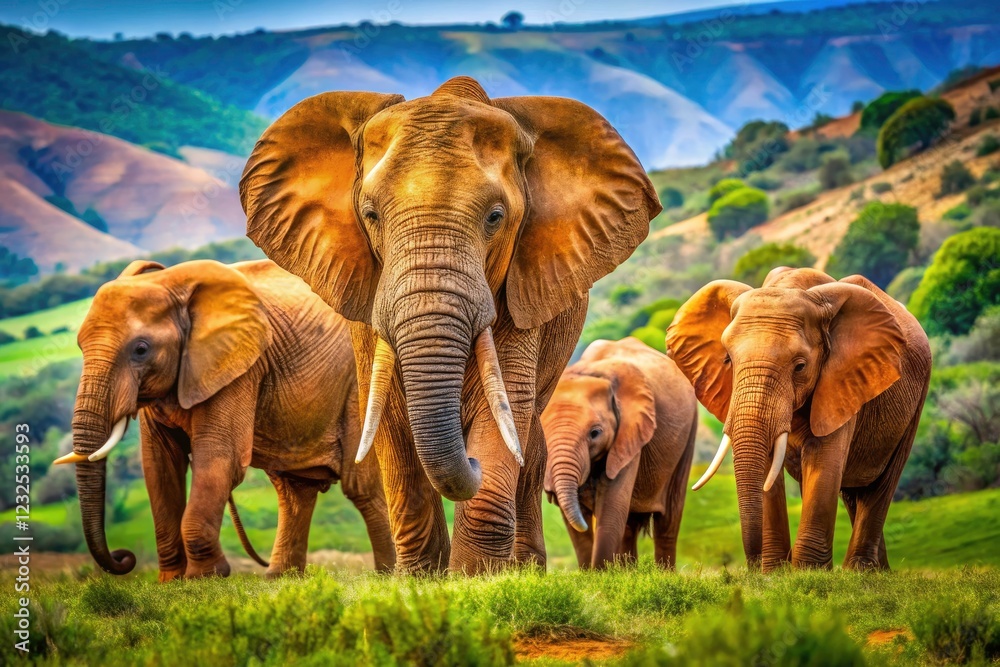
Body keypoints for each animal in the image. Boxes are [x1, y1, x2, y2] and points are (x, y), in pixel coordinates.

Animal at [54, 259, 395, 580]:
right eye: (80, 345)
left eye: (140, 349)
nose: (124, 557)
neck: (170, 284)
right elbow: (160, 465)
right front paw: (171, 581)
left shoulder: (238, 365)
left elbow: (219, 456)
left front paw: (205, 578)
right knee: (294, 490)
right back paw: (279, 578)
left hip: (357, 387)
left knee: (361, 487)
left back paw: (388, 575)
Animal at [239, 76, 661, 573]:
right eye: (371, 215)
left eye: (496, 217)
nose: (472, 463)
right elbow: (389, 414)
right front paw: (422, 578)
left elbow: (503, 412)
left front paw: (476, 577)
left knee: (530, 440)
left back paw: (524, 568)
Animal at [542, 337, 697, 570]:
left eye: (595, 433)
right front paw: (590, 574)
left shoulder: (629, 433)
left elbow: (610, 505)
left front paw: (599, 575)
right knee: (629, 525)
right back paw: (628, 572)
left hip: (689, 433)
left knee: (667, 520)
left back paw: (663, 573)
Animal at [665, 267, 931, 572]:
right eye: (728, 360)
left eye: (800, 366)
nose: (753, 568)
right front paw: (776, 574)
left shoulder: (842, 380)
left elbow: (823, 460)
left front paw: (807, 572)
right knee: (853, 494)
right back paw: (877, 572)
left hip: (917, 400)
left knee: (880, 486)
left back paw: (860, 571)